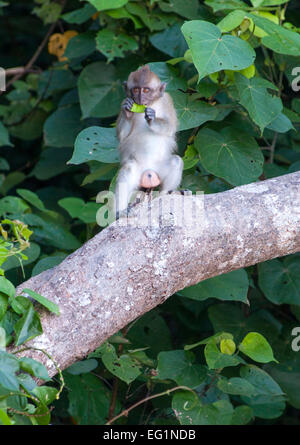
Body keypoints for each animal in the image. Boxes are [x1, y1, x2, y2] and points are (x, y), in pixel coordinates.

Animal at [114, 65, 183, 218]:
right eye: (135, 90)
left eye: (146, 90)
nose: (140, 98)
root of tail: (148, 171)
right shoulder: (122, 102)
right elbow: (122, 136)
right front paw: (128, 112)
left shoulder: (167, 100)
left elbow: (170, 127)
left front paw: (152, 119)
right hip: (138, 172)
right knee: (128, 170)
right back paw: (121, 211)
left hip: (159, 170)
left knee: (175, 162)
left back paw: (165, 194)